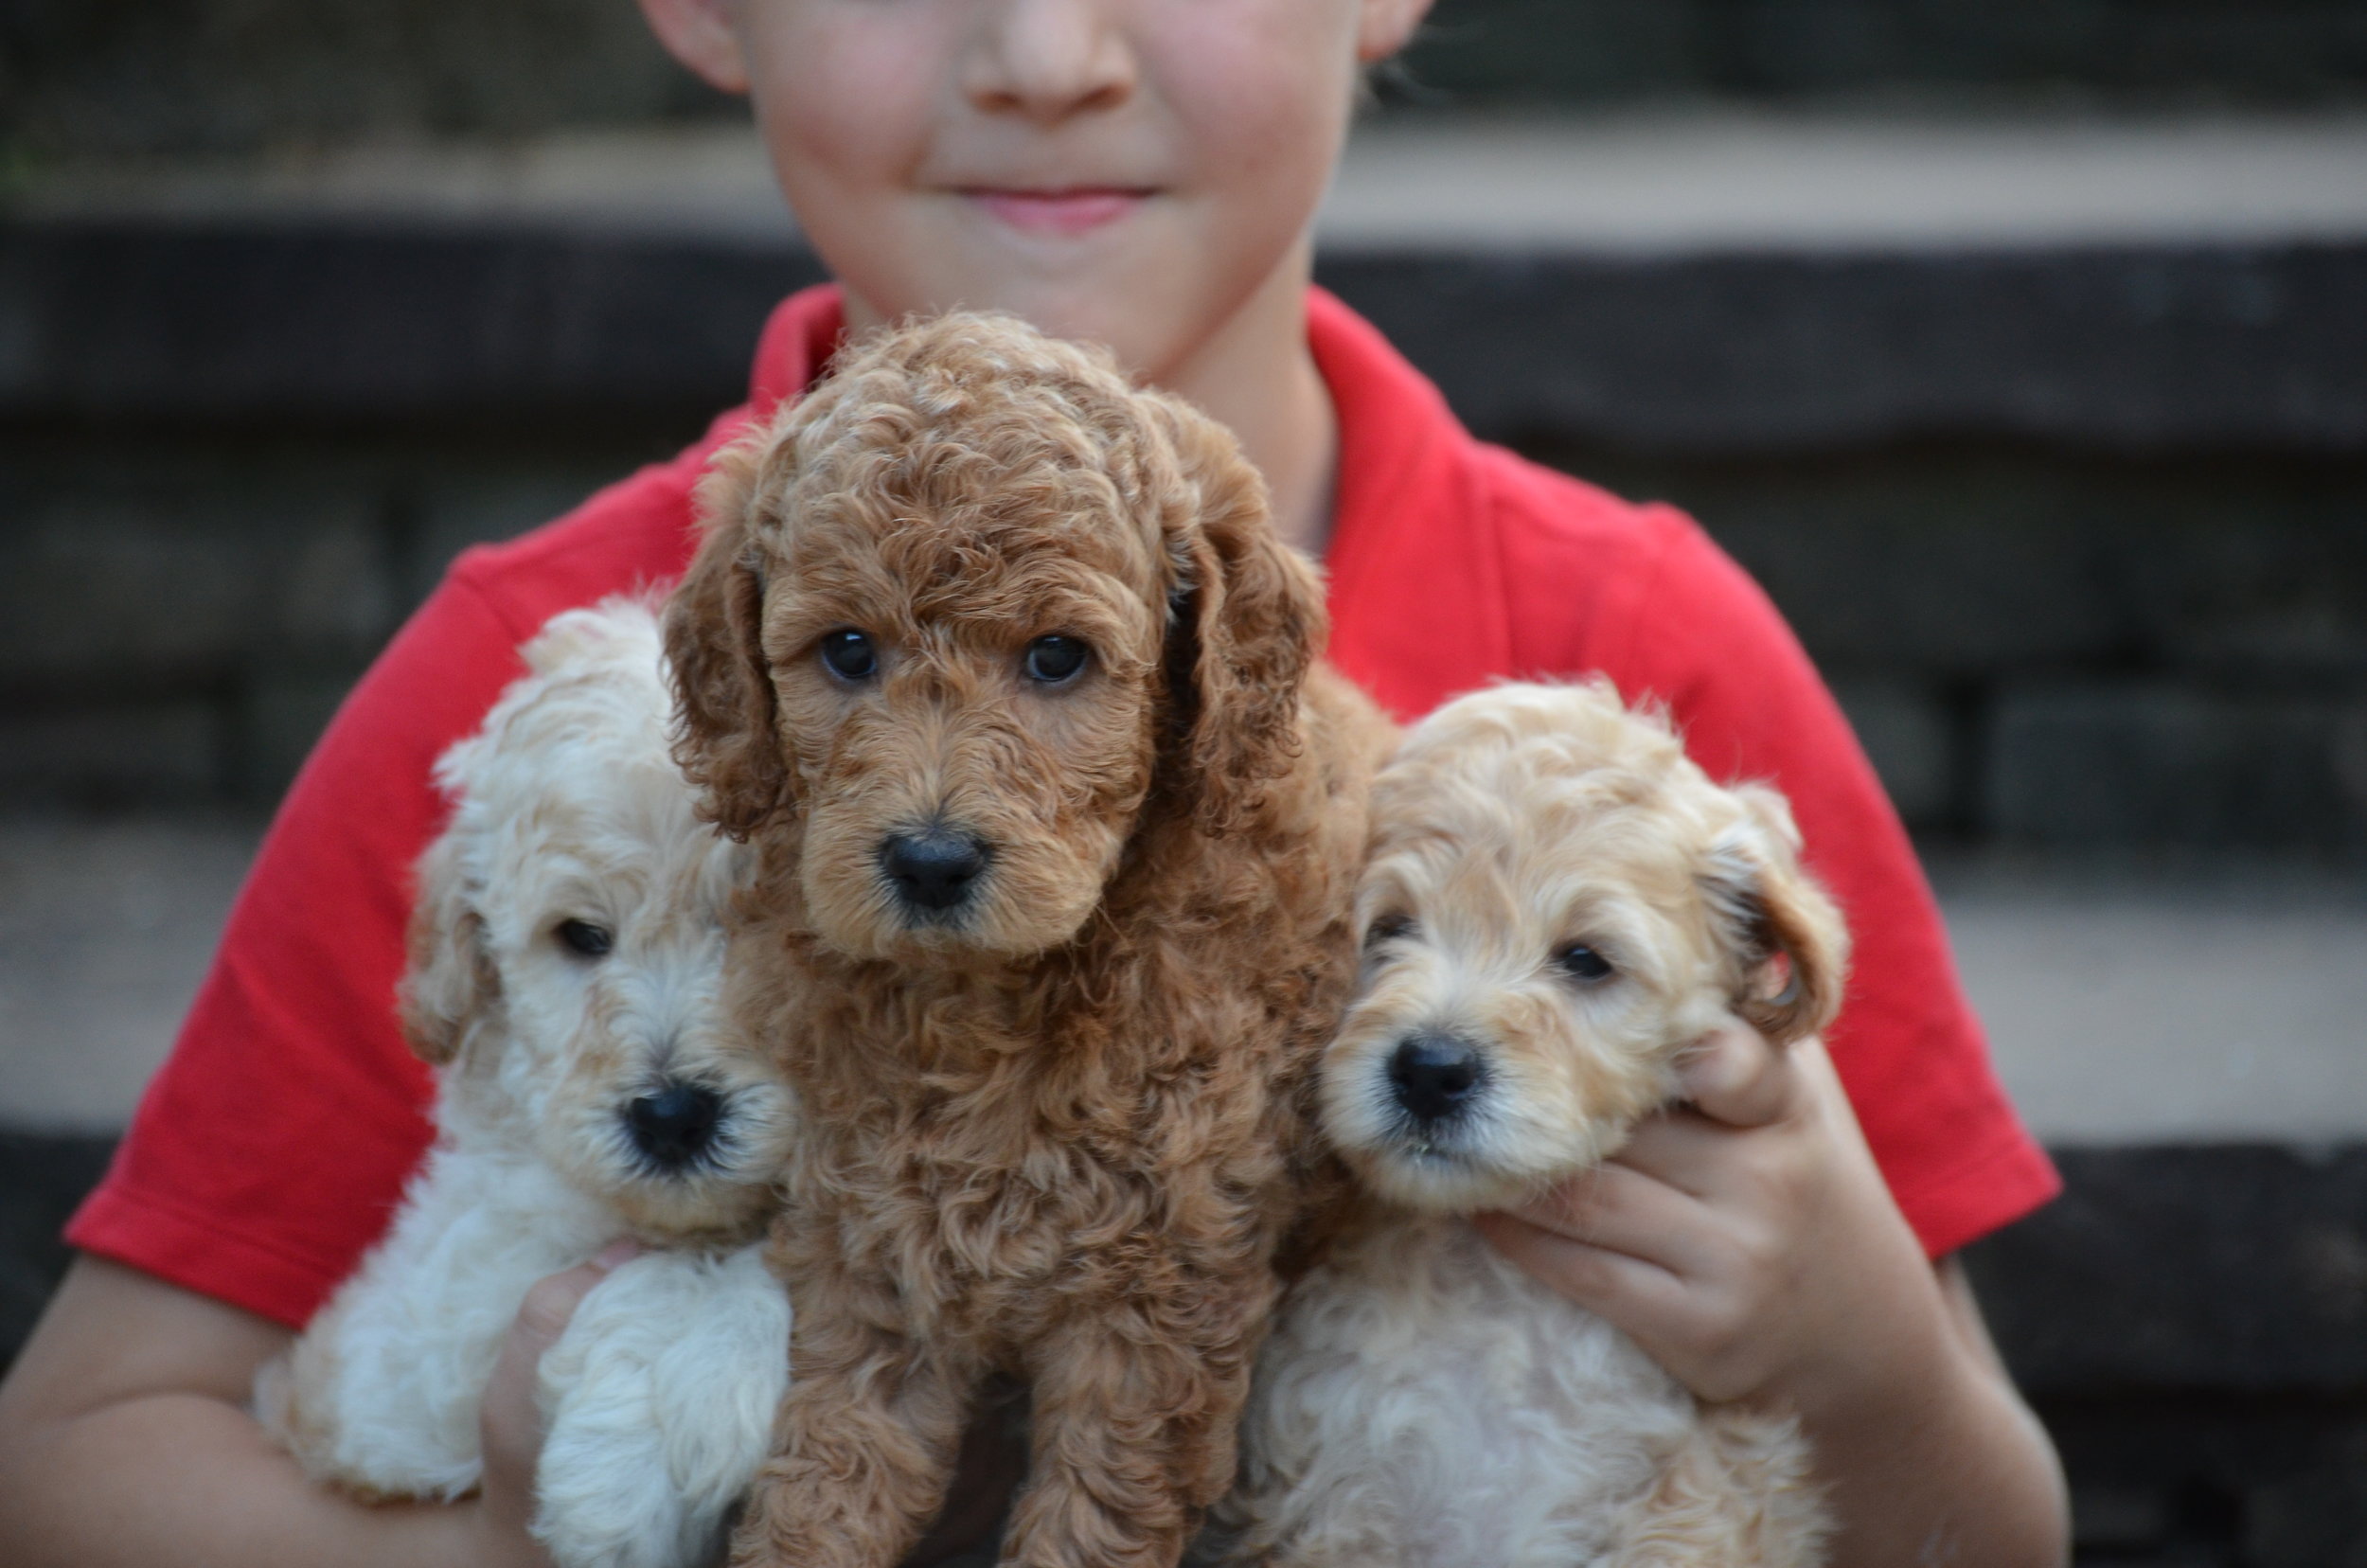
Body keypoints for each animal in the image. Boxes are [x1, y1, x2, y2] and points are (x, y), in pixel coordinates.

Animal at [658, 312, 1392, 1568]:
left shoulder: (1155, 1302)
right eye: (846, 651)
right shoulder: (877, 1250)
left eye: (1057, 658)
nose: (930, 861)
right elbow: (829, 1479)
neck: (988, 1002)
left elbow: (1090, 1522)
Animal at [1202, 686, 1846, 1568]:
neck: (1494, 1292)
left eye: (1586, 960)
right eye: (1390, 929)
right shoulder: (1330, 1496)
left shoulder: (1703, 1493)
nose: (1430, 1070)